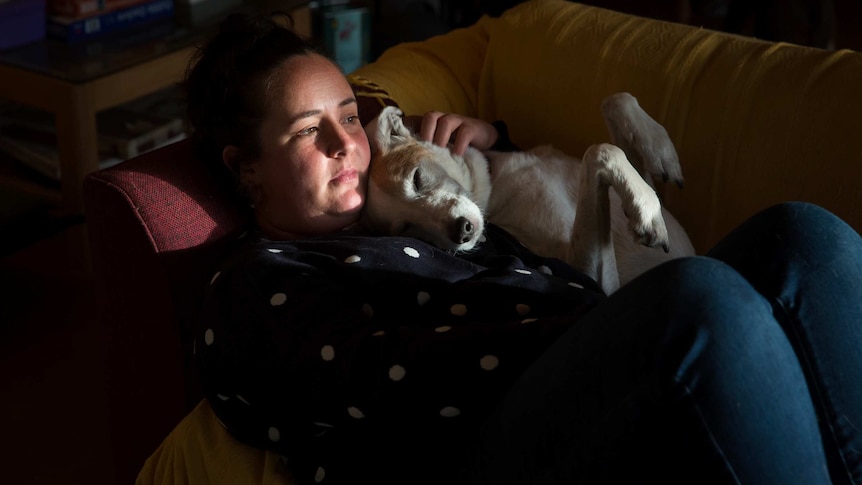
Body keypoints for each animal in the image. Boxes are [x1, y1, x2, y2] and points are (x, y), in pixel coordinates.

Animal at [362, 93, 696, 294]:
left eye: (417, 179)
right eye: (407, 230)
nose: (462, 230)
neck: (496, 182)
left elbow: (615, 102)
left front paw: (662, 152)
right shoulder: (594, 278)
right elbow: (601, 150)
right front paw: (646, 210)